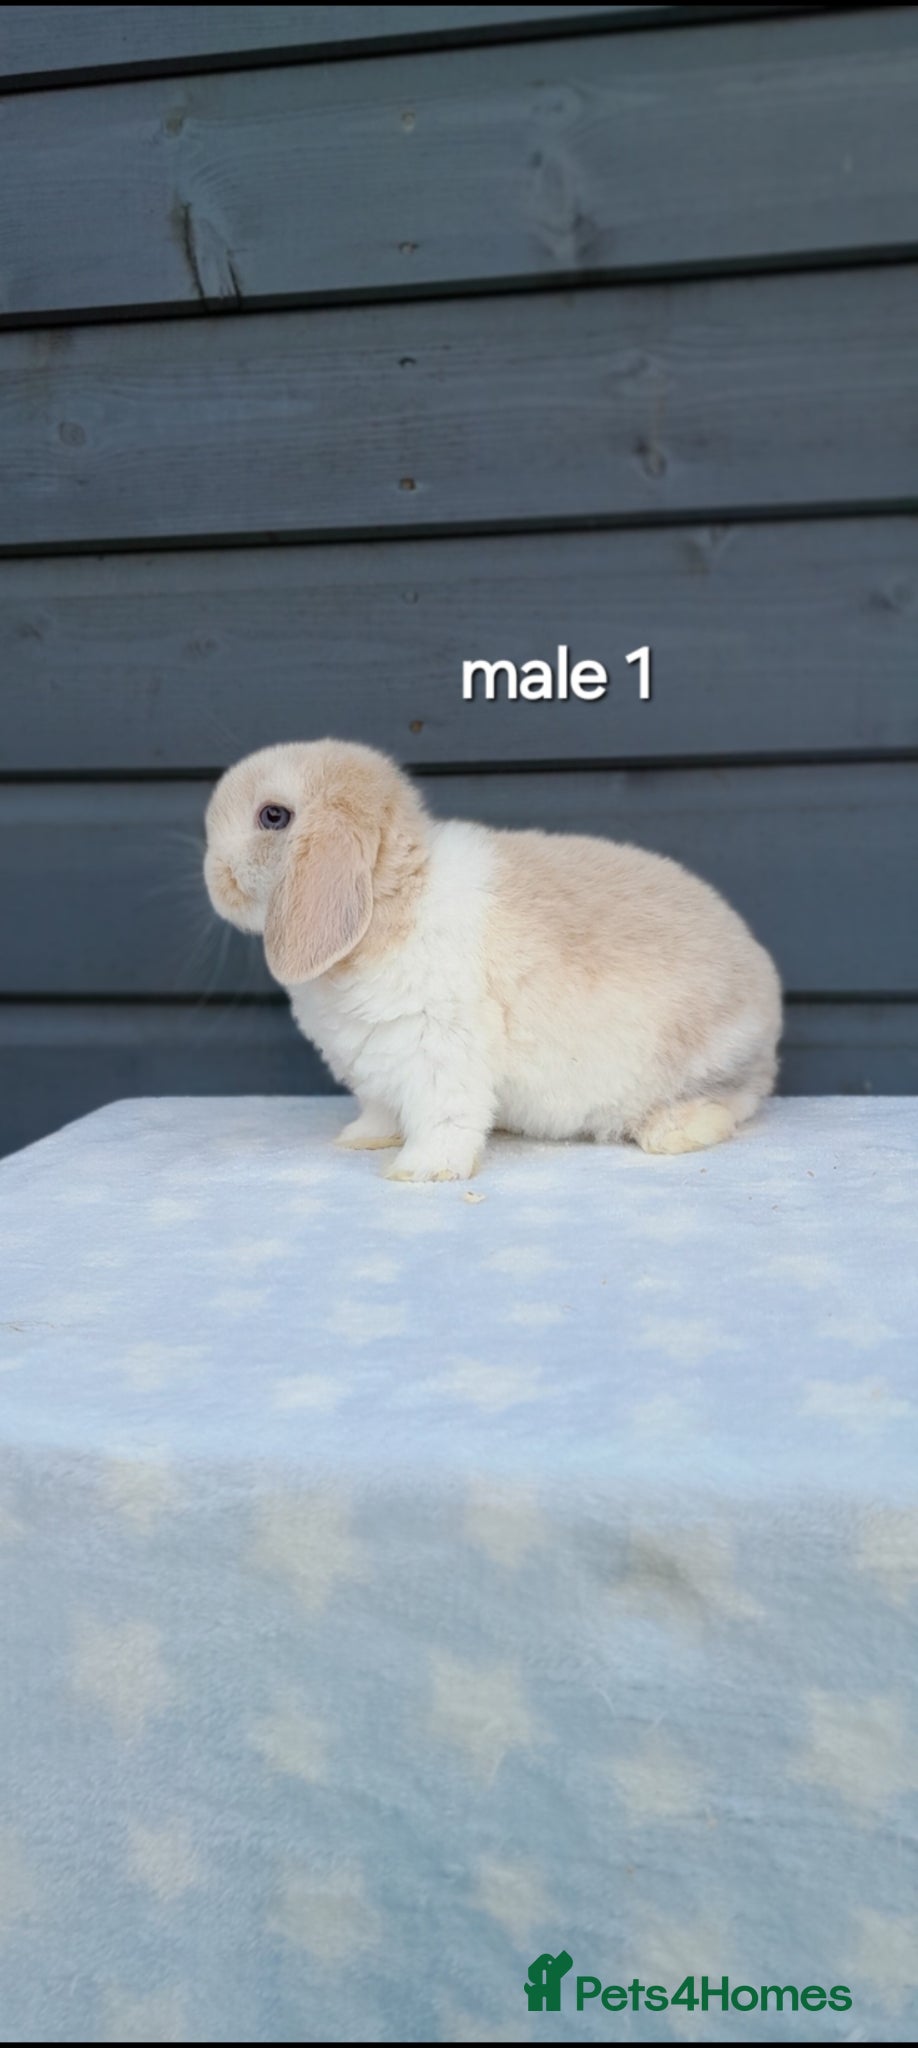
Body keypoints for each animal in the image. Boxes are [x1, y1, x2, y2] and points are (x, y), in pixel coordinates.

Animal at [204, 738, 782, 1182]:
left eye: (273, 816)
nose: (214, 879)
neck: (392, 900)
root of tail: (769, 999)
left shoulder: (439, 1048)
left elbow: (444, 1117)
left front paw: (420, 1171)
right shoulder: (379, 1070)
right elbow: (381, 1110)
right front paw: (361, 1139)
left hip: (705, 1062)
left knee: (735, 1101)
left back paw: (674, 1130)